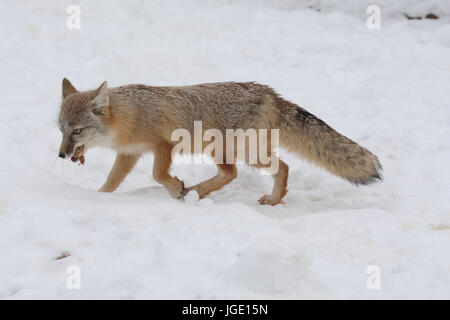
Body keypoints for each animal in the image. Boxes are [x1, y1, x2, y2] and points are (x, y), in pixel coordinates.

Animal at [58, 78, 382, 205]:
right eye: (61, 130)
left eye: (77, 131)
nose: (61, 155)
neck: (131, 115)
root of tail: (269, 93)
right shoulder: (129, 154)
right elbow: (110, 183)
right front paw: (98, 198)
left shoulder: (164, 146)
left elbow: (158, 174)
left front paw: (176, 187)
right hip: (250, 154)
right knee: (281, 168)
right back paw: (273, 200)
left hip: (226, 151)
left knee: (234, 173)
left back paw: (194, 192)